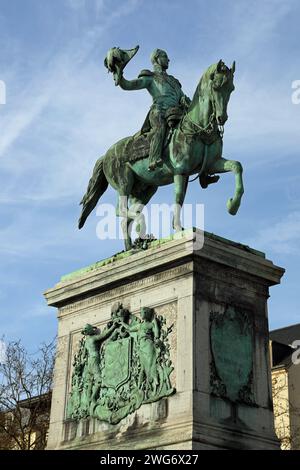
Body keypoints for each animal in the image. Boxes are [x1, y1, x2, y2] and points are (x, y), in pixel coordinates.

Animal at [78, 60, 244, 252]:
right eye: (216, 86)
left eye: (231, 88)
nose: (221, 118)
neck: (198, 127)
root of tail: (106, 155)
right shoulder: (180, 171)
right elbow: (178, 198)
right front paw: (178, 229)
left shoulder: (212, 164)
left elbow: (237, 166)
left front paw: (232, 205)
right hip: (124, 183)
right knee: (121, 211)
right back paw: (139, 232)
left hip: (146, 189)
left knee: (127, 217)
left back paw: (131, 247)